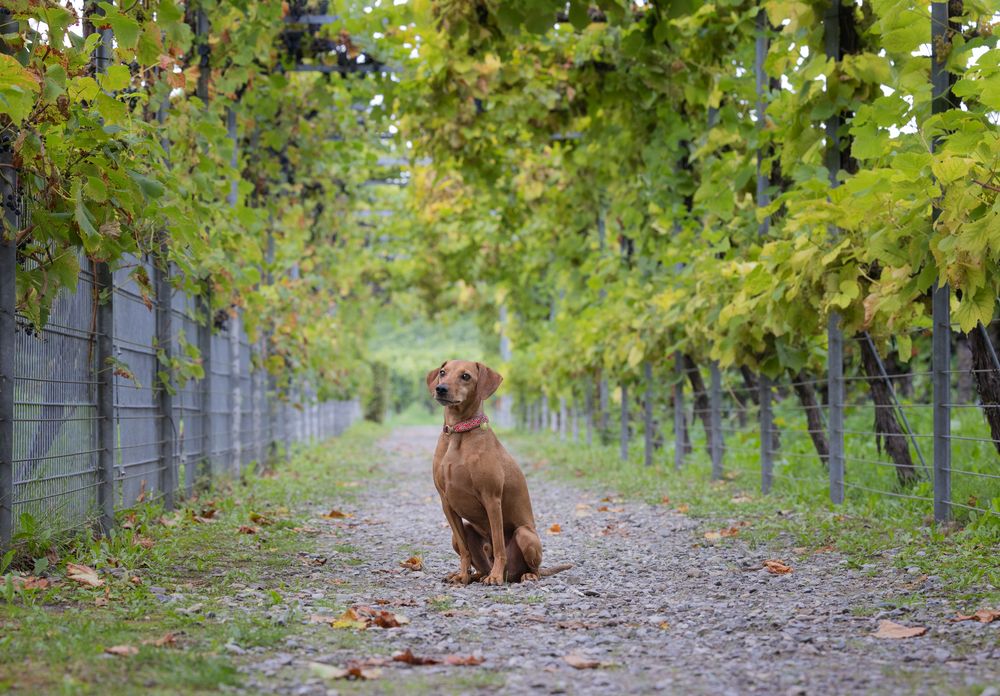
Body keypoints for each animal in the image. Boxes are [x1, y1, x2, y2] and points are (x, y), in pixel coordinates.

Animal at [428, 358, 576, 580]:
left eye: (466, 376)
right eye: (443, 372)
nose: (441, 388)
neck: (458, 433)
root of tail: (511, 575)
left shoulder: (492, 498)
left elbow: (498, 545)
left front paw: (495, 577)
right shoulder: (446, 502)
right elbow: (464, 549)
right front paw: (462, 576)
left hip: (525, 534)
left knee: (533, 567)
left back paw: (521, 575)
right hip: (462, 534)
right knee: (477, 563)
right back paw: (474, 576)